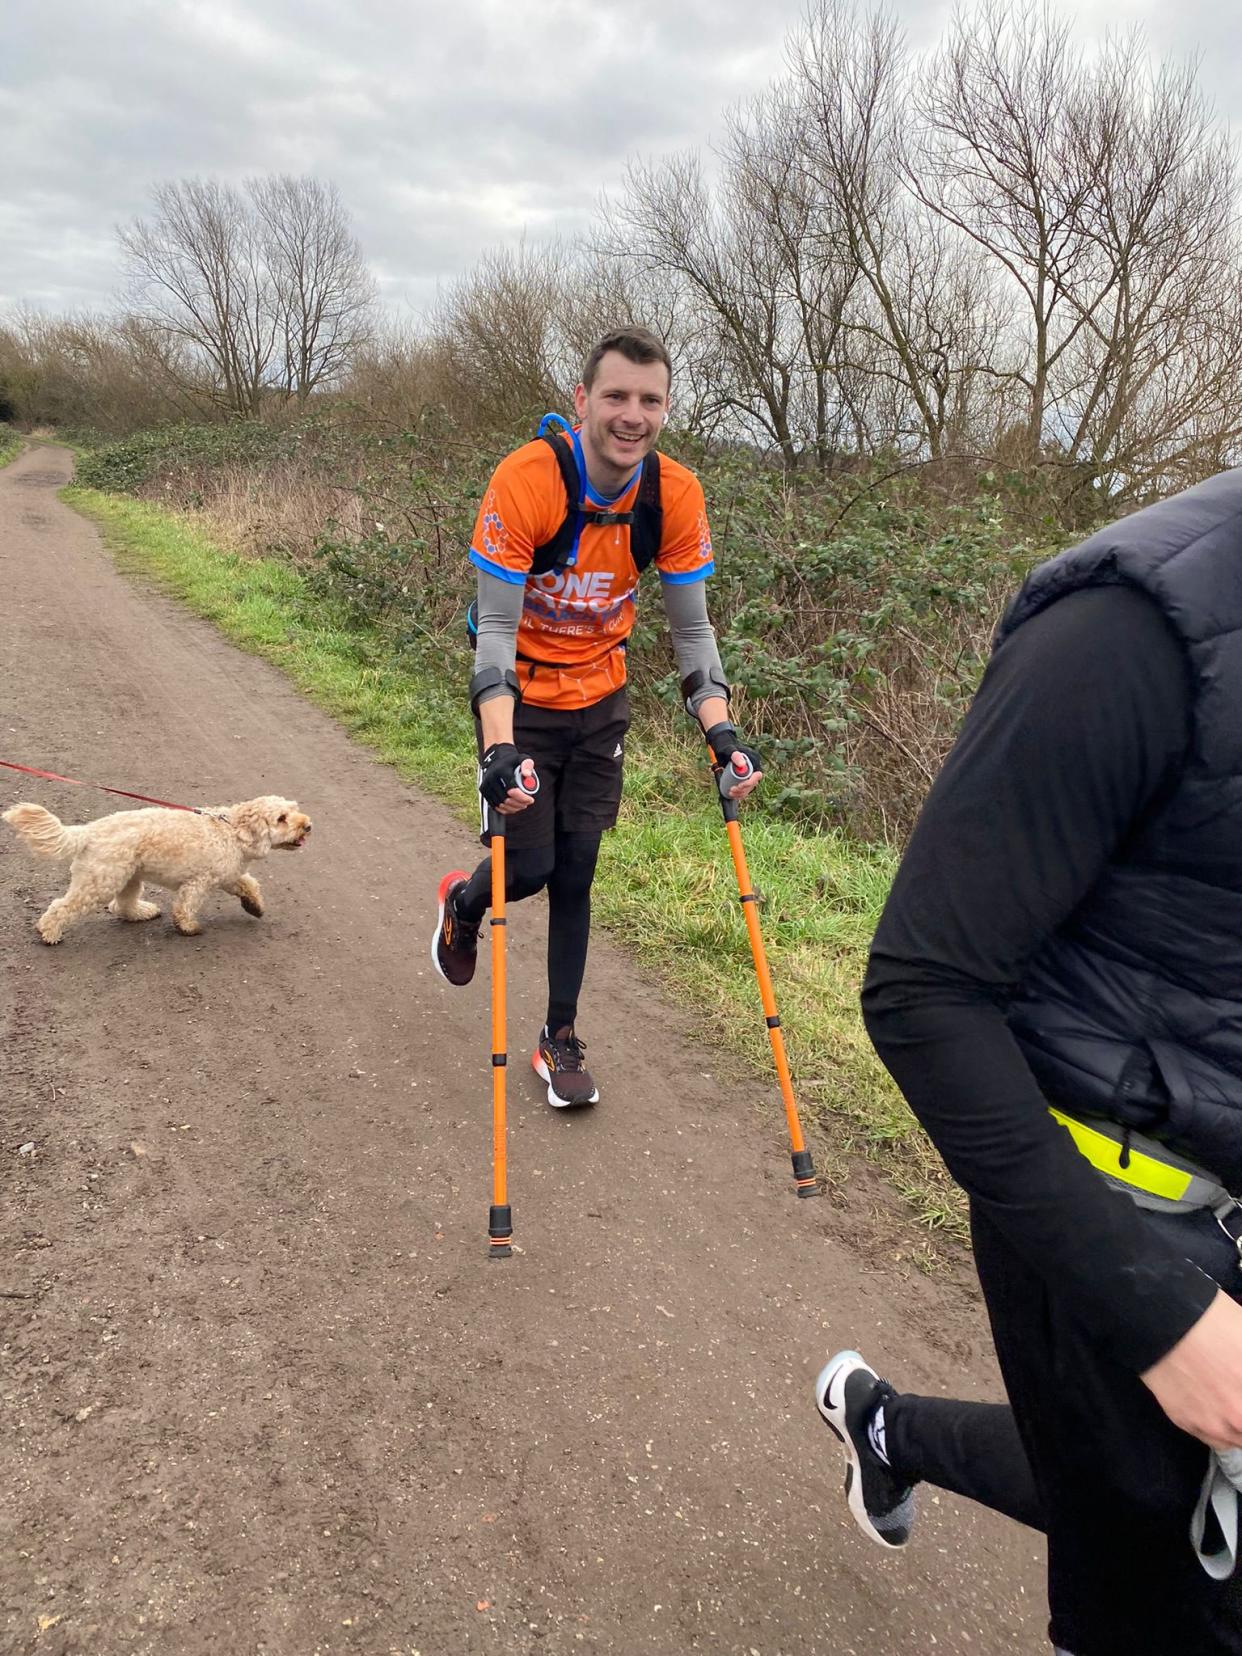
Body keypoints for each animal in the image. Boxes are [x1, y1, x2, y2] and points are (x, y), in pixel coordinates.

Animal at [3, 798, 312, 947]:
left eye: (295, 810)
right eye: (281, 818)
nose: (308, 826)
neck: (232, 830)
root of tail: (89, 831)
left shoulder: (228, 874)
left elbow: (249, 884)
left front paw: (255, 906)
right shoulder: (199, 882)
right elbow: (185, 906)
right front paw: (188, 928)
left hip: (128, 877)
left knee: (122, 906)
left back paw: (142, 912)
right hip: (101, 881)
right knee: (62, 906)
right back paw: (49, 932)